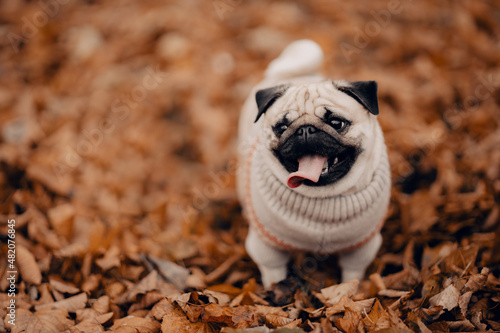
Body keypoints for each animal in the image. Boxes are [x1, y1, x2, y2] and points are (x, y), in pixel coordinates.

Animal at [236, 40, 392, 286]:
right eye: (282, 127)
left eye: (336, 123)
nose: (305, 130)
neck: (323, 198)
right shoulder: (267, 247)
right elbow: (273, 274)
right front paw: (275, 292)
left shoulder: (361, 248)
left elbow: (352, 275)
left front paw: (350, 290)